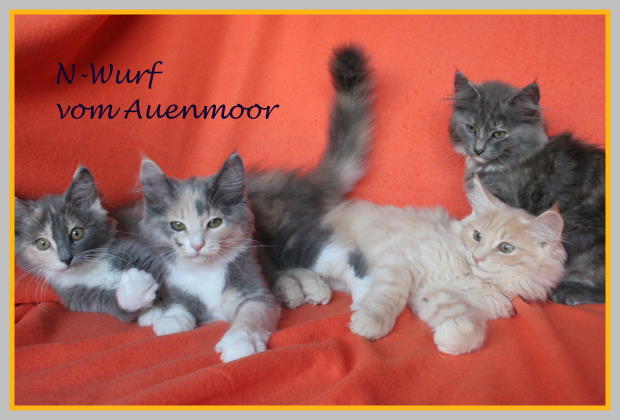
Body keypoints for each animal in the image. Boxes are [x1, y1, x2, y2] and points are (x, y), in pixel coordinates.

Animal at [15, 167, 160, 322]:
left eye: (76, 233)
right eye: (42, 244)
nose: (66, 258)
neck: (90, 267)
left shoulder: (136, 249)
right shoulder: (75, 296)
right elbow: (113, 304)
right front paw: (136, 289)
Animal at [127, 154, 281, 363]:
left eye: (215, 222)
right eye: (177, 225)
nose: (197, 245)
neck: (206, 269)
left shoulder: (256, 291)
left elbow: (252, 315)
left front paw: (240, 342)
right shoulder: (175, 281)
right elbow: (178, 301)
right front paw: (173, 318)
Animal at [276, 176, 566, 354]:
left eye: (506, 248)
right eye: (477, 236)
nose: (477, 256)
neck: (471, 276)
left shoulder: (436, 294)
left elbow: (466, 327)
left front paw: (450, 338)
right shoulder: (401, 261)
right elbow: (387, 298)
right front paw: (370, 322)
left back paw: (309, 291)